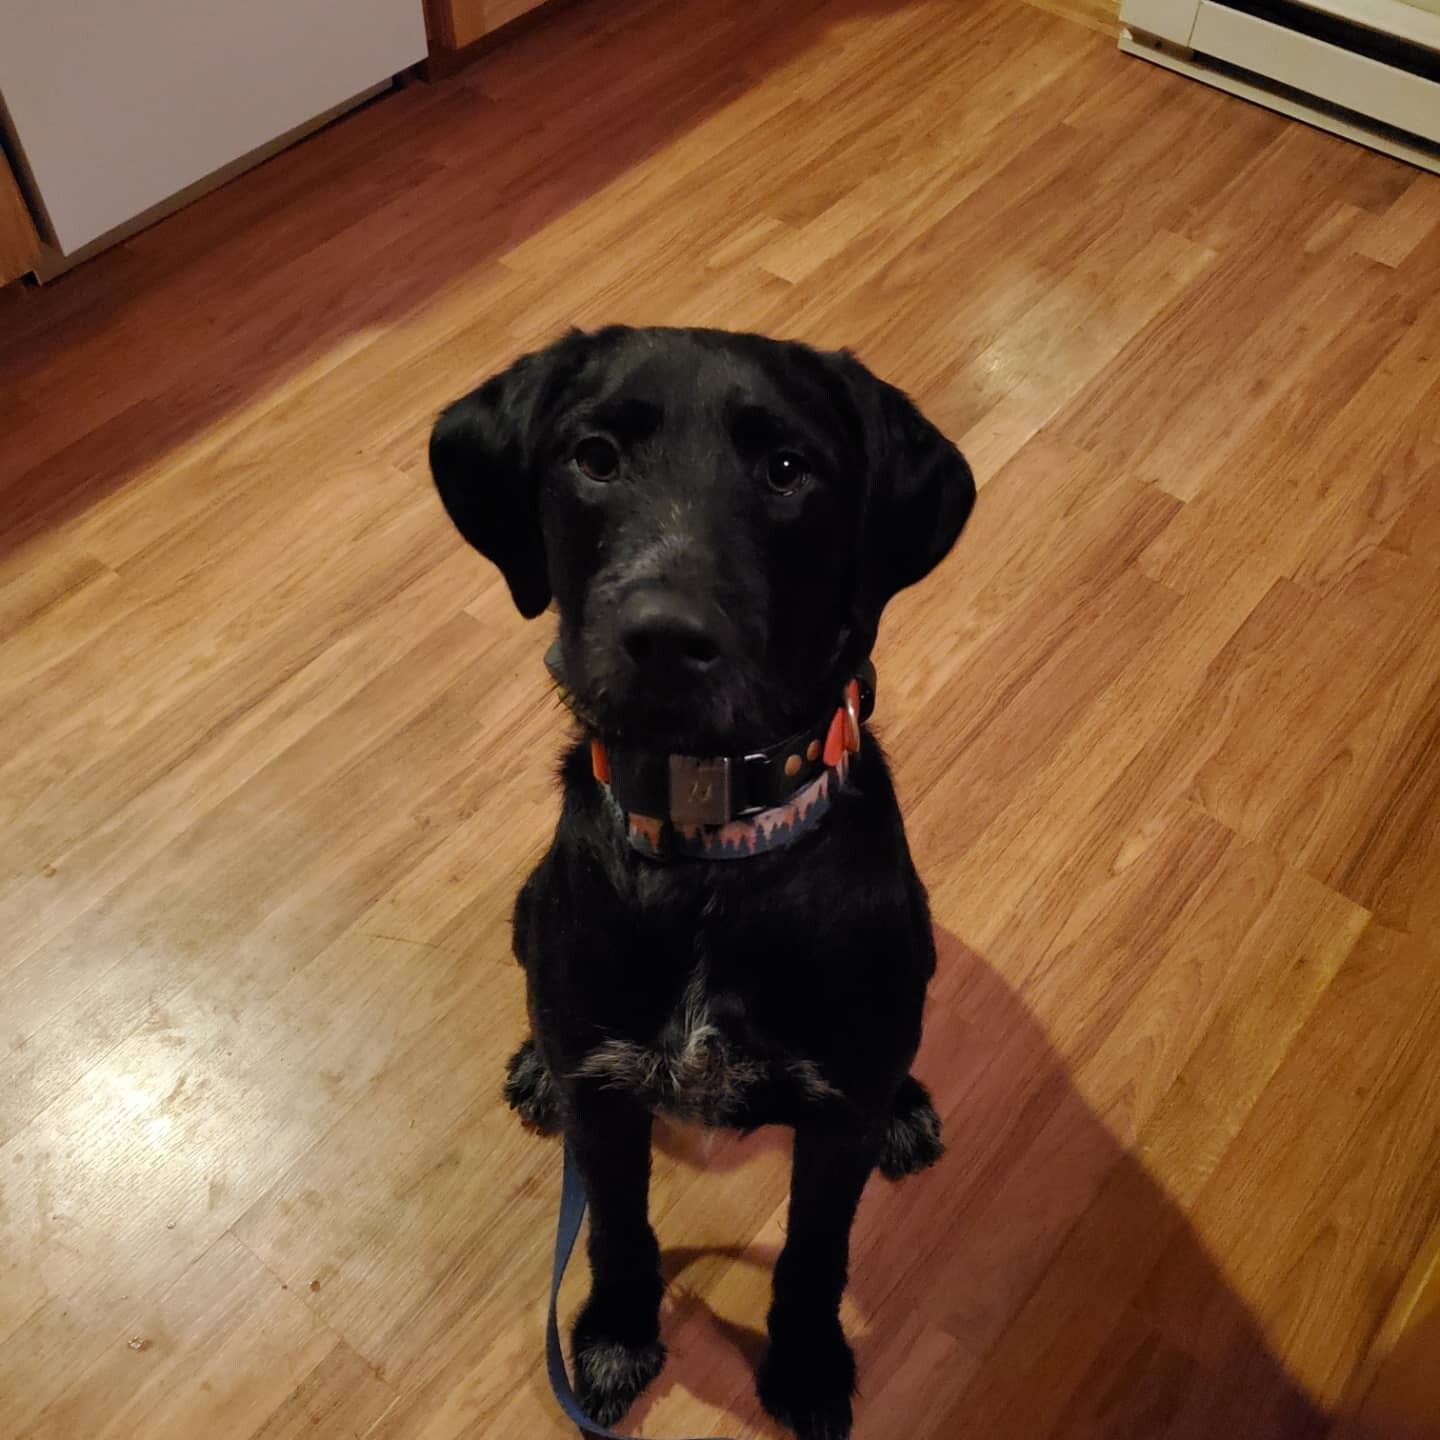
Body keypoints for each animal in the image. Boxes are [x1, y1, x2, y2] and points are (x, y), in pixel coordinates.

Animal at [426, 326, 967, 1440]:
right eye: (593, 456)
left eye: (788, 469)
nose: (666, 638)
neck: (709, 850)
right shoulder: (606, 1101)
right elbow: (616, 1227)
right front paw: (617, 1334)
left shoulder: (833, 1126)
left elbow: (814, 1253)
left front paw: (806, 1366)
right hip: (526, 913)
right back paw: (535, 1064)